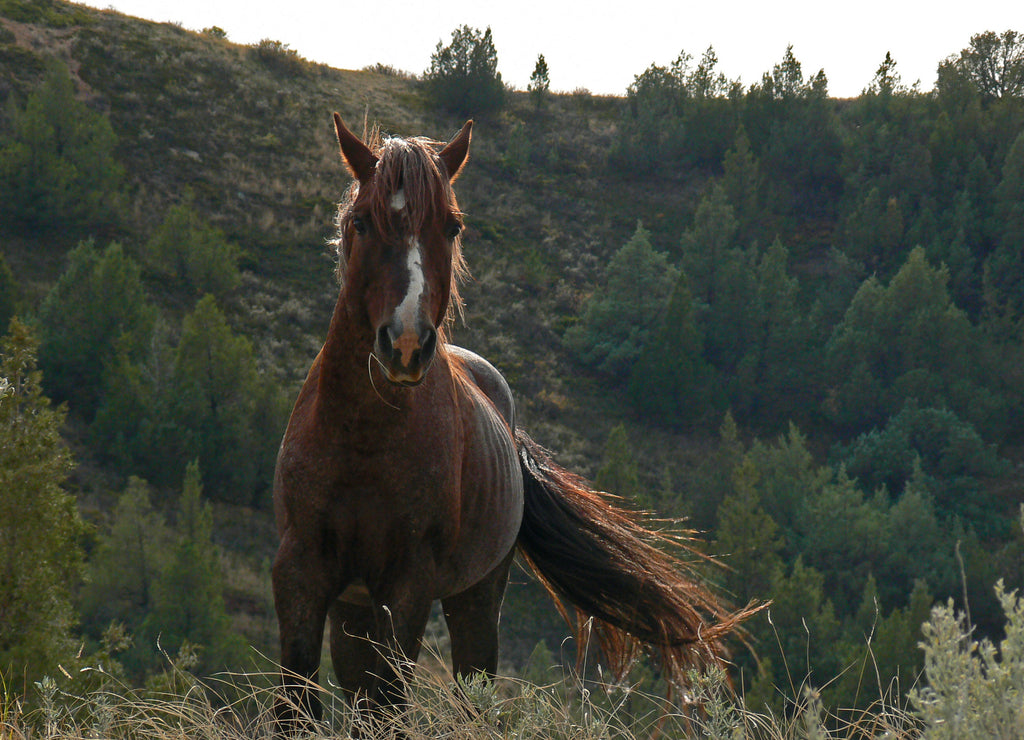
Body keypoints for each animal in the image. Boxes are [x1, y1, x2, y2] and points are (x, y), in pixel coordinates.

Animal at [272, 114, 751, 728]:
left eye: (451, 227)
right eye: (361, 221)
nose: (405, 345)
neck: (361, 442)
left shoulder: (406, 590)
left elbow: (391, 705)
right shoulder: (301, 577)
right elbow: (296, 704)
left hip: (474, 600)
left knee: (465, 691)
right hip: (354, 613)